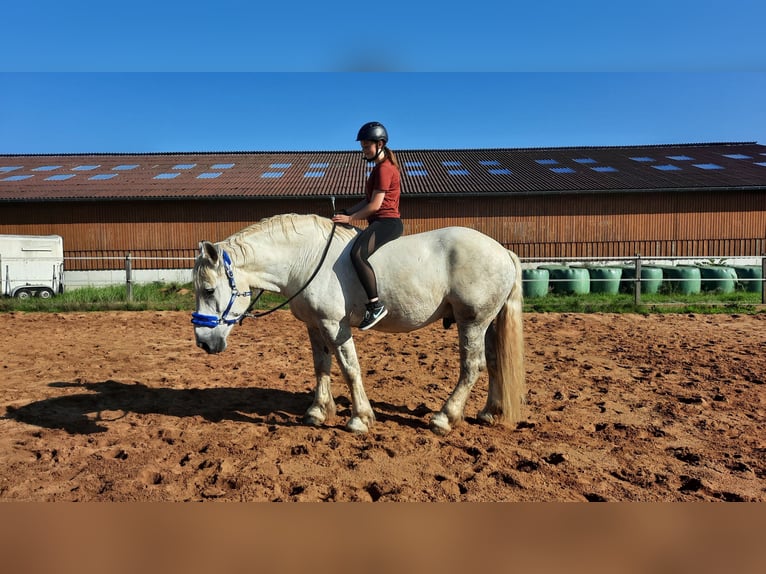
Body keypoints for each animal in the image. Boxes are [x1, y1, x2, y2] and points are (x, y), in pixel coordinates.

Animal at [192, 216, 528, 436]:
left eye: (208, 290)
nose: (203, 342)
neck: (305, 260)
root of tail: (502, 251)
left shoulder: (334, 325)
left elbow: (349, 368)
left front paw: (360, 419)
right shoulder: (314, 325)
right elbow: (321, 366)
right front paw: (317, 412)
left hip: (472, 321)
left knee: (472, 367)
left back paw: (445, 418)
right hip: (486, 323)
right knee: (494, 362)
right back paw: (489, 413)